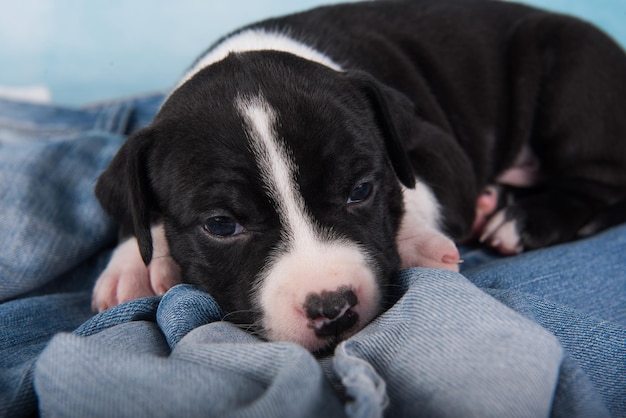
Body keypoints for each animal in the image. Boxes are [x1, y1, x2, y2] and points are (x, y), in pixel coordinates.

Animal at [91, 0, 624, 352]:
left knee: (600, 182)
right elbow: (134, 211)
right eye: (221, 225)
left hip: (570, 73)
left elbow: (413, 190)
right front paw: (133, 263)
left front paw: (419, 242)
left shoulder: (439, 149)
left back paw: (522, 221)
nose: (332, 308)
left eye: (361, 190)